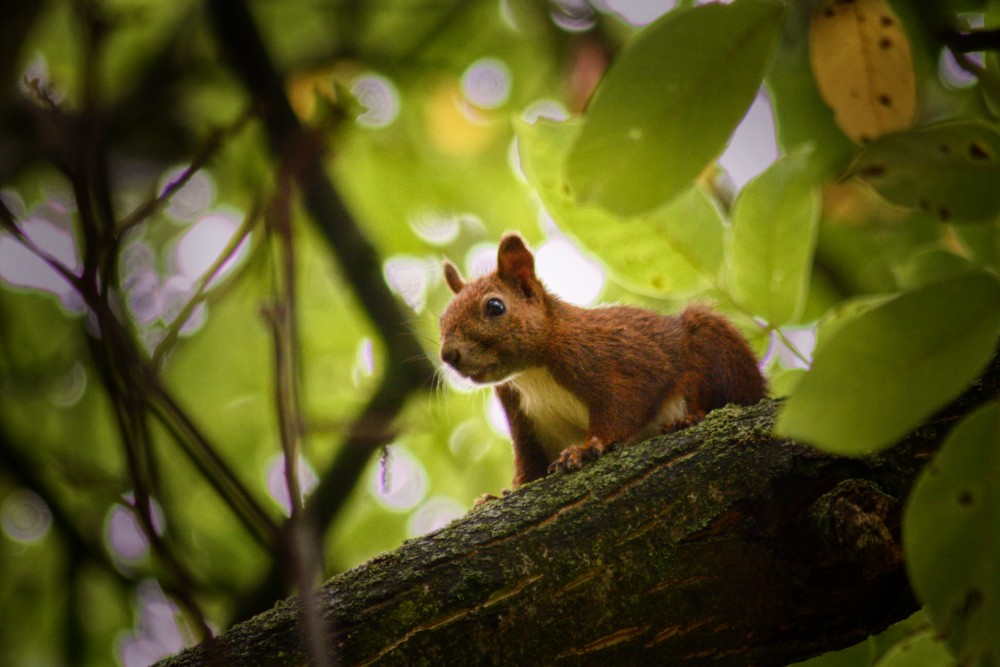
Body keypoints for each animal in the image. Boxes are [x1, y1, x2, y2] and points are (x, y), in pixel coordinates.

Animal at [438, 232, 764, 488]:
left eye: (495, 307)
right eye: (441, 318)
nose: (448, 354)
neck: (531, 374)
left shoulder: (611, 358)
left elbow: (625, 406)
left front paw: (584, 448)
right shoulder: (520, 415)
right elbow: (528, 464)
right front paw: (499, 494)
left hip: (716, 347)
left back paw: (691, 416)